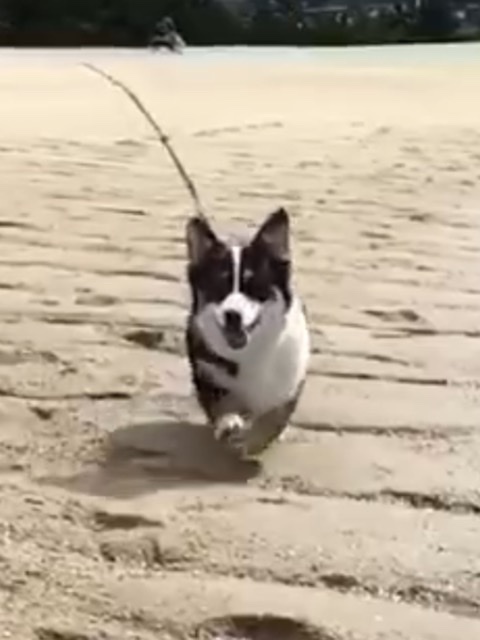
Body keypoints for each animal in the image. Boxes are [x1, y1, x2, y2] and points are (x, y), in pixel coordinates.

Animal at [185, 208, 310, 457]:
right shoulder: (207, 369)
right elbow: (222, 403)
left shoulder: (291, 381)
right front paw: (229, 424)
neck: (252, 350)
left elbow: (276, 416)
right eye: (218, 287)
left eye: (255, 287)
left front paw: (255, 441)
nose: (233, 315)